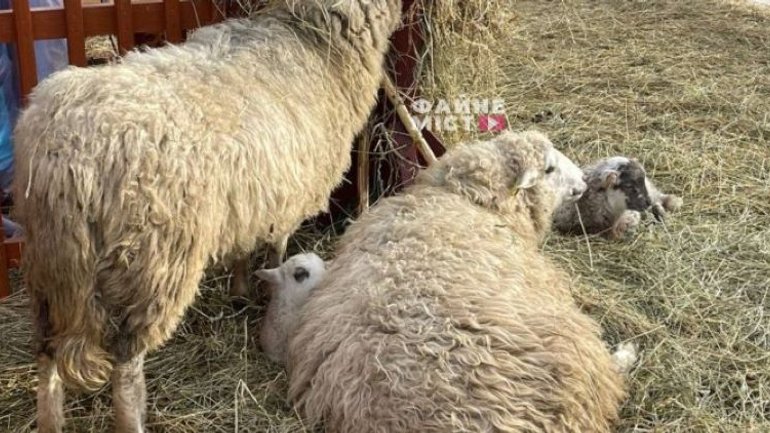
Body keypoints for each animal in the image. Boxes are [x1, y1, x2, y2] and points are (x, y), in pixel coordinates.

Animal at [12, 1, 404, 430]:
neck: (313, 41)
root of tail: (66, 157)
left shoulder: (252, 198)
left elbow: (243, 250)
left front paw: (240, 289)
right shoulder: (288, 194)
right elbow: (278, 248)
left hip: (49, 267)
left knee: (46, 353)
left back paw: (50, 419)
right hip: (154, 263)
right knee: (126, 364)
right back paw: (133, 417)